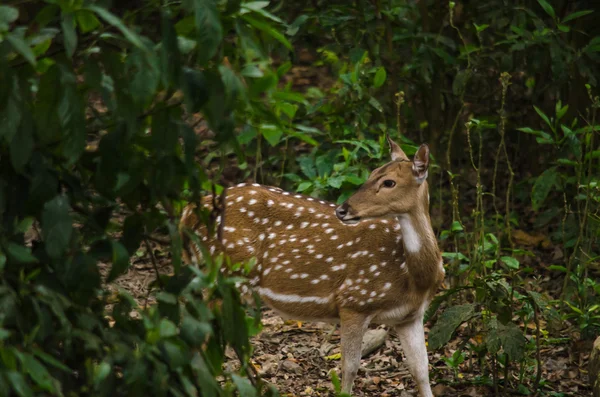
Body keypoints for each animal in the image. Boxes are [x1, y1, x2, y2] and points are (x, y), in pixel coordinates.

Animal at [180, 135, 448, 392]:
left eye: (389, 182)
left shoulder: (410, 316)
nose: (342, 209)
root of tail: (188, 213)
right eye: (372, 174)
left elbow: (421, 371)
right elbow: (349, 369)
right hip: (223, 274)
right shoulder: (354, 300)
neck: (411, 276)